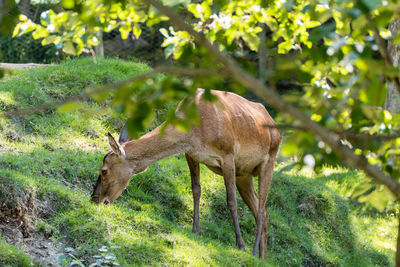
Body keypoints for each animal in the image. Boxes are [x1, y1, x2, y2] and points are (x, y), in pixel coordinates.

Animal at [90, 89, 280, 260]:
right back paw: (262, 258)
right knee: (263, 209)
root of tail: (275, 127)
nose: (94, 199)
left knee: (261, 209)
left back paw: (254, 252)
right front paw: (196, 230)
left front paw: (240, 245)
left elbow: (231, 201)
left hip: (268, 160)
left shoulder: (228, 154)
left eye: (104, 171)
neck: (194, 131)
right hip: (244, 174)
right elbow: (196, 190)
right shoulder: (191, 154)